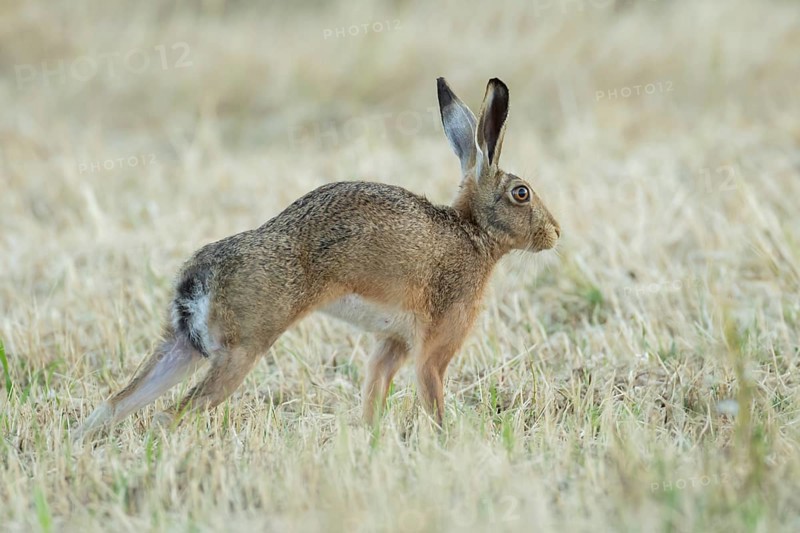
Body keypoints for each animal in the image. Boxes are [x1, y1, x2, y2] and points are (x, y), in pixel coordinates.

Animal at [74, 77, 560, 440]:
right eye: (521, 193)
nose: (555, 233)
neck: (474, 232)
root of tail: (199, 277)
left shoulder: (392, 344)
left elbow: (374, 391)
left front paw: (369, 440)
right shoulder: (436, 345)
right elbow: (432, 393)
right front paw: (445, 444)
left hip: (182, 346)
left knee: (117, 402)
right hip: (242, 349)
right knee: (172, 414)